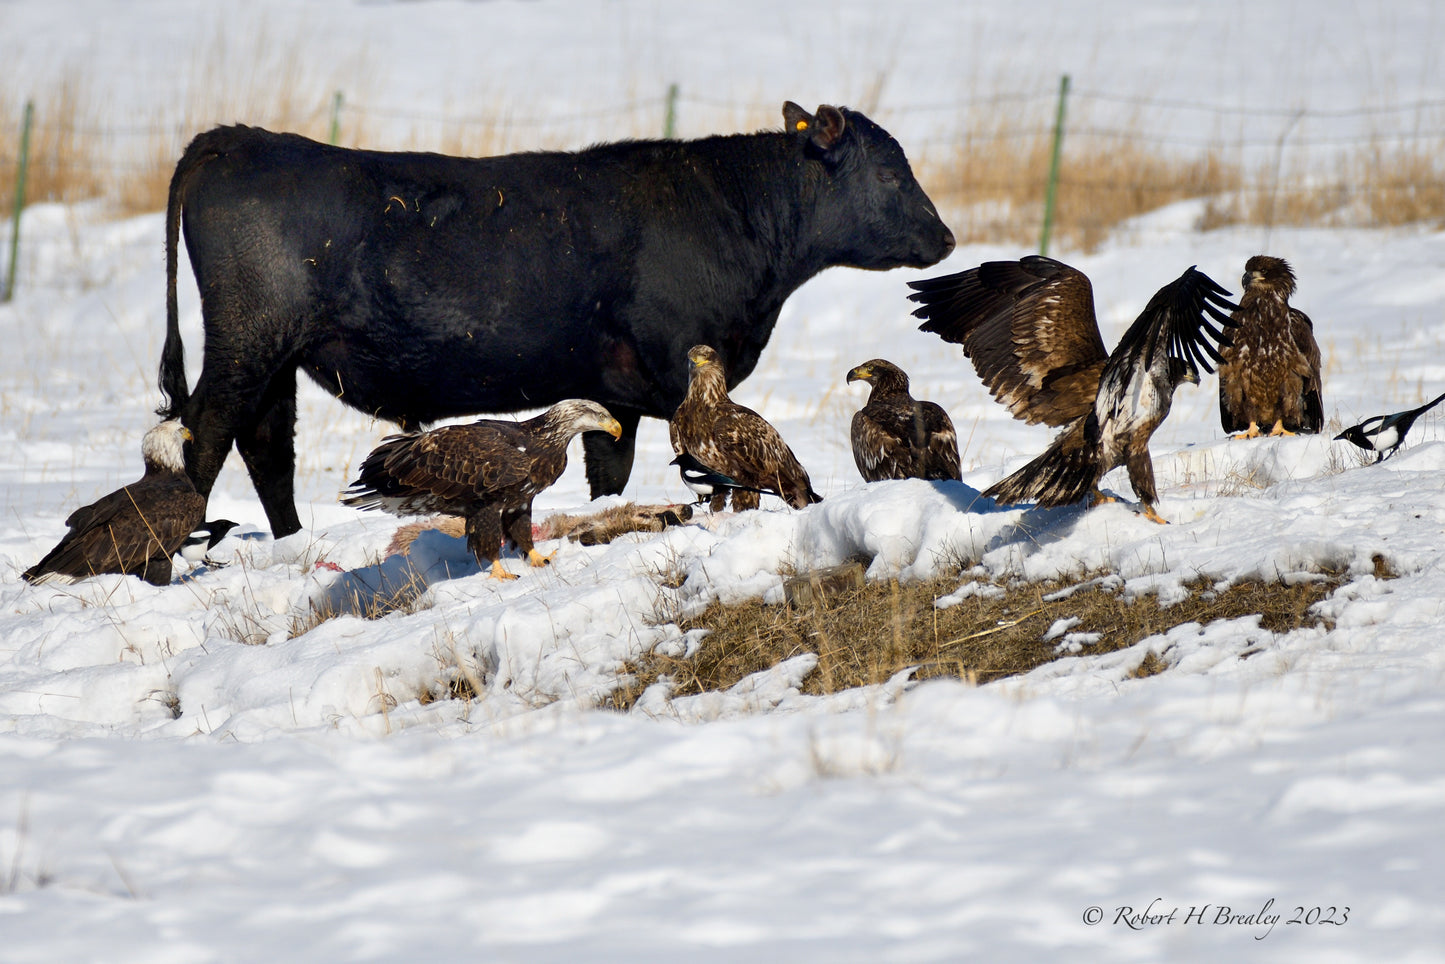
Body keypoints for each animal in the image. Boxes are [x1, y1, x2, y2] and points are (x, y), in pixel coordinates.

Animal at [158, 101, 953, 540]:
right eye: (889, 173)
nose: (945, 238)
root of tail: (233, 137)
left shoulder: (616, 395)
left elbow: (609, 474)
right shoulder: (674, 376)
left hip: (276, 357)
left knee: (266, 448)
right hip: (245, 345)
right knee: (203, 437)